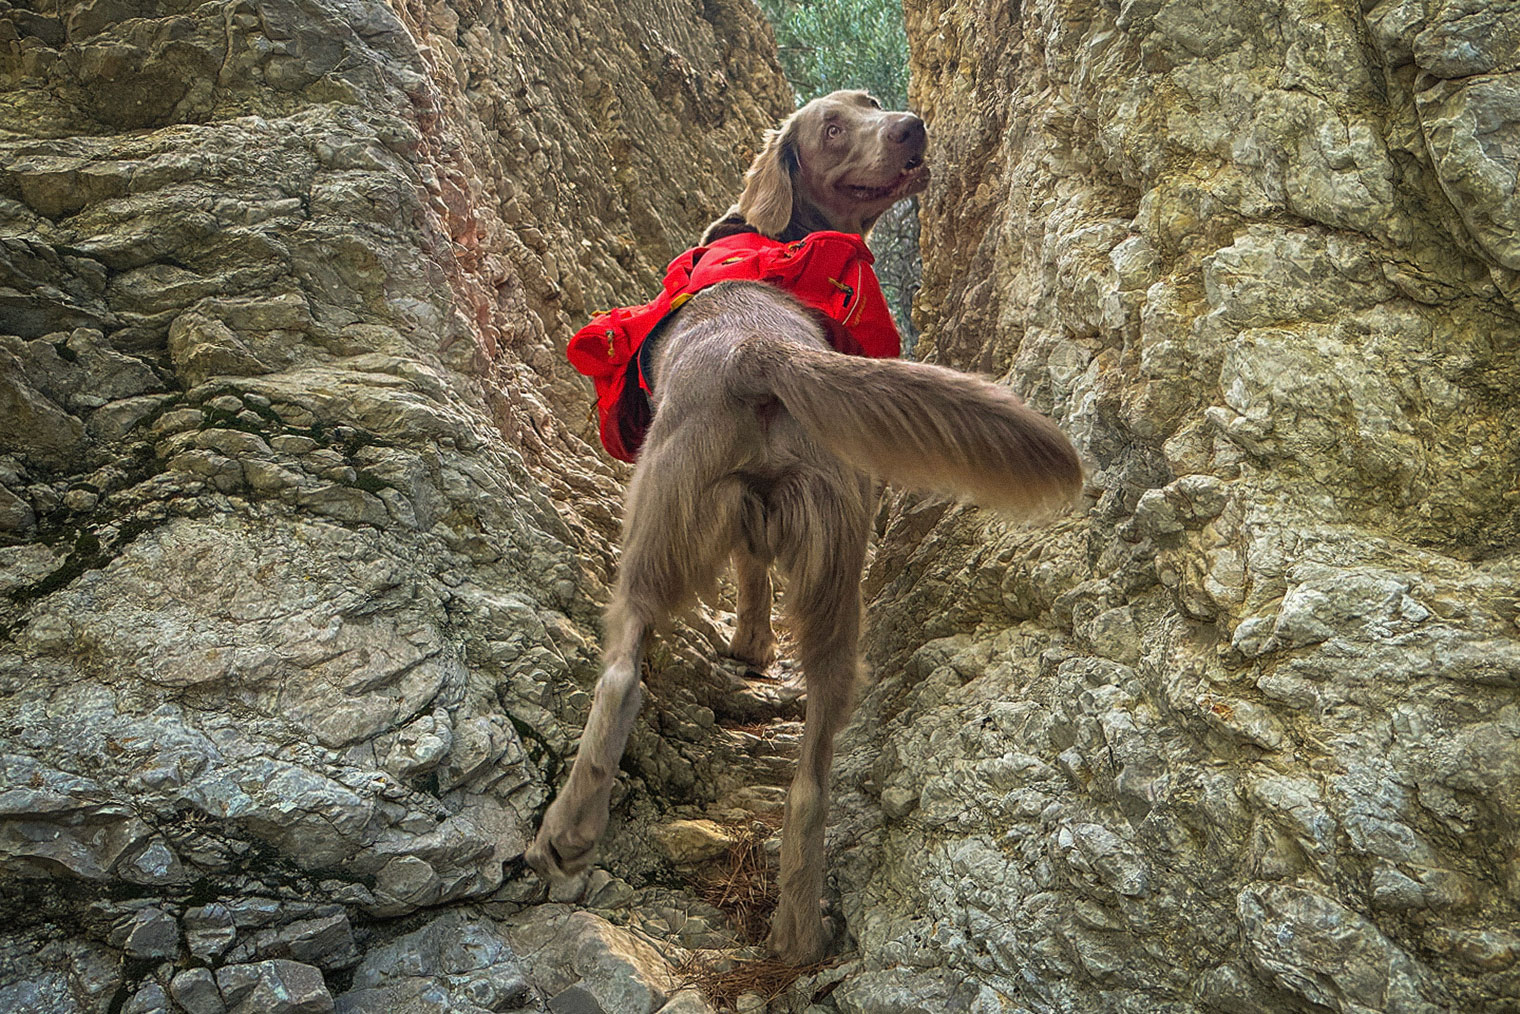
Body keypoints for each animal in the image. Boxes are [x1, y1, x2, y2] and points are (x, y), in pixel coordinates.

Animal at [528, 91, 1088, 966]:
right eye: (837, 126)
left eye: (864, 110)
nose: (910, 125)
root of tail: (757, 348)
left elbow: (748, 577)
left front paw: (748, 646)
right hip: (833, 573)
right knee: (811, 783)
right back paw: (796, 927)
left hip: (653, 531)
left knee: (620, 672)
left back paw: (565, 835)